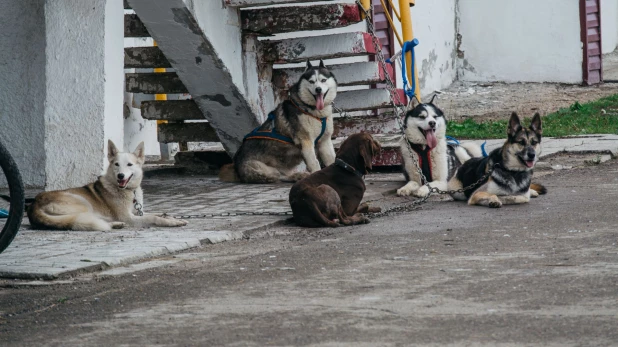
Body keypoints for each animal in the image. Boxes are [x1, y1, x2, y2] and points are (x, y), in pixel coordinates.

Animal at [27, 140, 185, 232]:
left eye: (129, 164)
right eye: (116, 164)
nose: (120, 176)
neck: (129, 191)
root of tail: (34, 206)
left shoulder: (137, 213)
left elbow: (155, 214)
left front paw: (172, 217)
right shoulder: (129, 217)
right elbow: (154, 218)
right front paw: (171, 222)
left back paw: (116, 225)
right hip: (85, 205)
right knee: (89, 221)